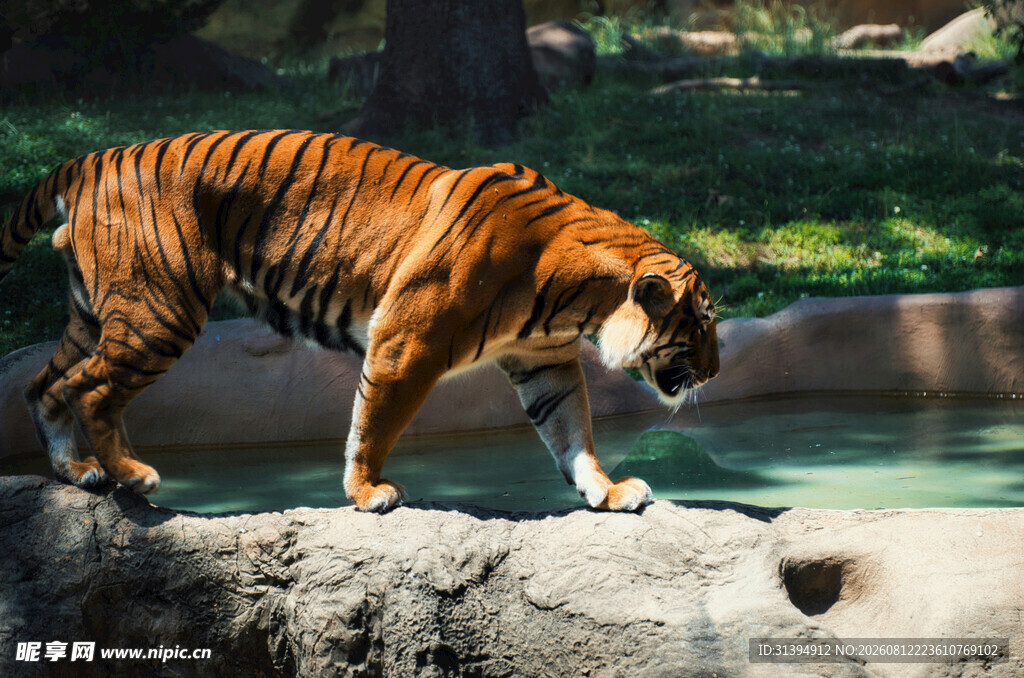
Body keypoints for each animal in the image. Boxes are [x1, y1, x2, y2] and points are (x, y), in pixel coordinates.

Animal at [0, 130, 719, 513]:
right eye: (701, 325)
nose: (715, 371)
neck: (581, 297)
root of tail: (95, 157)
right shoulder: (408, 342)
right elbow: (374, 422)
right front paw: (368, 490)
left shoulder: (546, 362)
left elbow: (573, 432)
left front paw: (607, 491)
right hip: (159, 311)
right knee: (89, 389)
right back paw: (129, 475)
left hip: (99, 314)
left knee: (42, 385)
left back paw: (78, 473)